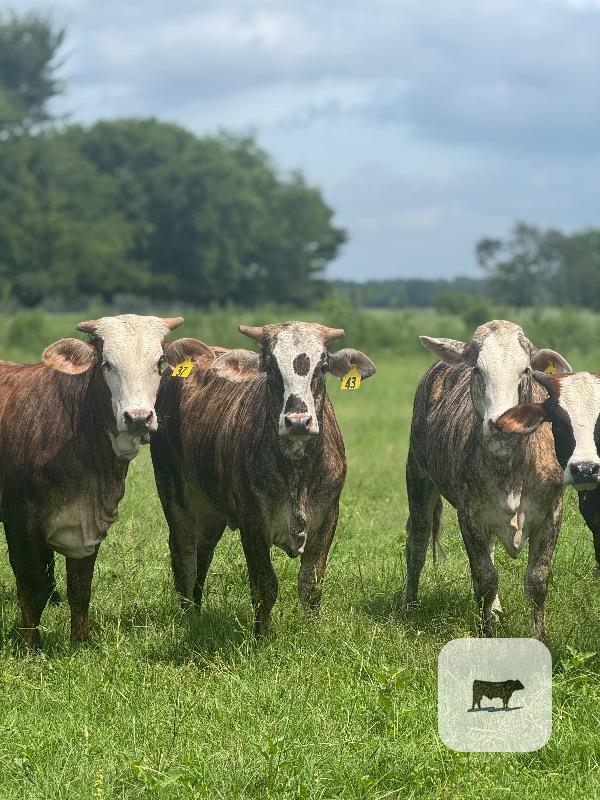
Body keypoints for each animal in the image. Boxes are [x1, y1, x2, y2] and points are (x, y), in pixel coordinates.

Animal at [0, 313, 183, 648]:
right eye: (106, 364)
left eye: (160, 362)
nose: (138, 417)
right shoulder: (18, 519)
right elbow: (31, 583)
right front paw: (31, 645)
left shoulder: (88, 522)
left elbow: (80, 585)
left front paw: (80, 642)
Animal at [150, 321, 375, 637]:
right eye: (269, 367)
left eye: (322, 367)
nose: (297, 421)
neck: (297, 471)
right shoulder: (252, 524)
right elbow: (264, 586)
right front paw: (261, 636)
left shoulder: (328, 518)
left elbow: (311, 584)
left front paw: (312, 631)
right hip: (173, 491)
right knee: (184, 554)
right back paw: (188, 615)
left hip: (211, 510)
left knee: (203, 552)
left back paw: (196, 609)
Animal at [405, 320, 571, 640]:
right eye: (477, 371)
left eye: (526, 370)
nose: (501, 423)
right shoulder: (469, 516)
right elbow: (484, 578)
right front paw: (487, 634)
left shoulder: (552, 511)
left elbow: (537, 580)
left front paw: (540, 637)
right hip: (417, 476)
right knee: (417, 541)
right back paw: (409, 606)